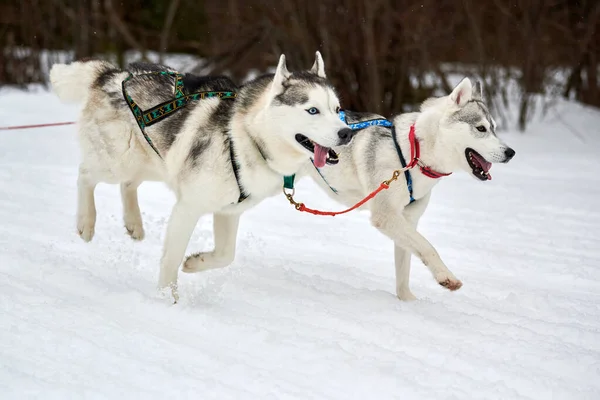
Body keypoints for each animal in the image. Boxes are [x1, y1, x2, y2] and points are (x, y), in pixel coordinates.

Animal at [51, 51, 354, 300]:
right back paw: (86, 223)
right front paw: (166, 299)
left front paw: (195, 262)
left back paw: (134, 224)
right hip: (119, 161)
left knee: (128, 184)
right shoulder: (188, 207)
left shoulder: (228, 212)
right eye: (312, 110)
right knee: (85, 174)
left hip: (154, 161)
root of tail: (113, 74)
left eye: (338, 110)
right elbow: (171, 258)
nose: (346, 133)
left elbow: (226, 255)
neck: (247, 138)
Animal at [302, 77, 512, 300]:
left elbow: (404, 267)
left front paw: (407, 301)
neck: (413, 153)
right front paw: (446, 277)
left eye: (494, 128)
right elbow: (427, 247)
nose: (511, 152)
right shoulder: (386, 216)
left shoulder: (408, 220)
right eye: (481, 129)